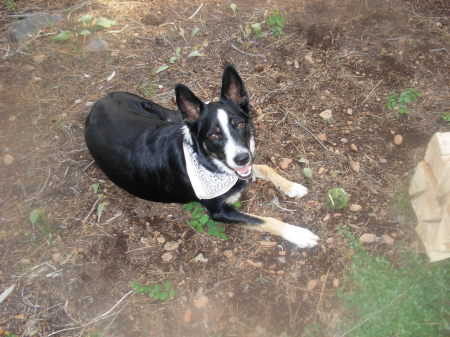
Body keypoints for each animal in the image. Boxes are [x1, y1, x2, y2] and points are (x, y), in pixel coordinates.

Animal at [83, 64, 316, 247]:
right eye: (213, 134)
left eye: (240, 124)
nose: (241, 159)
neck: (206, 161)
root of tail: (99, 101)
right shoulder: (218, 211)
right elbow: (266, 219)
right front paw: (298, 234)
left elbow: (265, 167)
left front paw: (292, 186)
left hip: (168, 114)